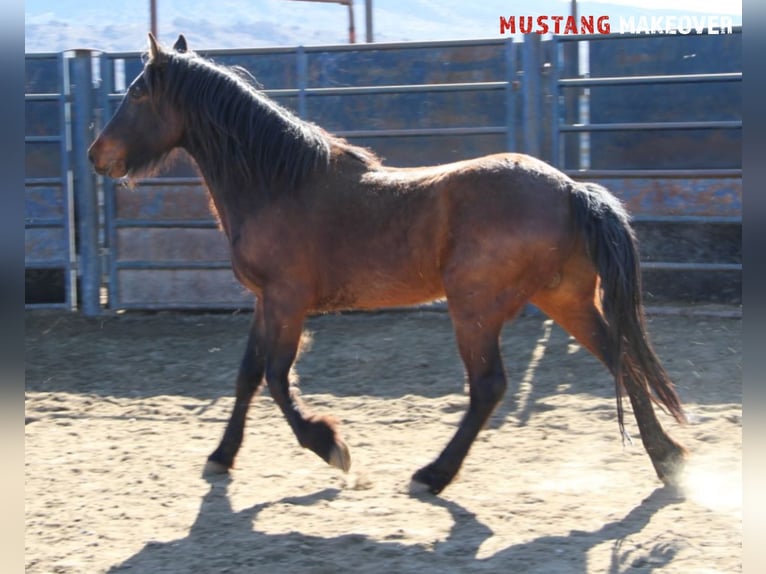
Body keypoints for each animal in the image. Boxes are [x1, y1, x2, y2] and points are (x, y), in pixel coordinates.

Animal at [88, 35, 688, 496]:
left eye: (137, 92)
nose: (97, 155)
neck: (278, 183)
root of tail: (569, 189)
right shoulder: (265, 301)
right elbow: (247, 376)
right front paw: (221, 456)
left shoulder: (287, 300)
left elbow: (278, 378)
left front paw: (331, 447)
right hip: (563, 299)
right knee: (622, 360)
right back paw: (669, 460)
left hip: (474, 308)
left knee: (489, 386)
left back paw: (433, 475)